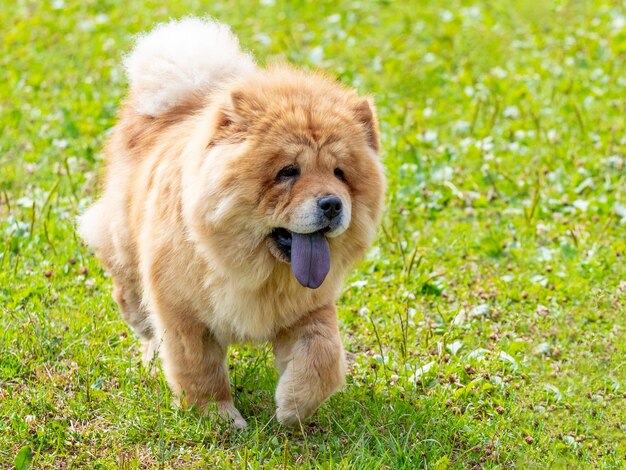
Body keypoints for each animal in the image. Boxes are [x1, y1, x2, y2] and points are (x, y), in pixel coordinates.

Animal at [80, 18, 382, 428]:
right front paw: (220, 417)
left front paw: (292, 407)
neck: (255, 272)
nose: (333, 204)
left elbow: (323, 358)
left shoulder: (309, 309)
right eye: (288, 172)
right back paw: (149, 345)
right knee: (133, 300)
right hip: (124, 245)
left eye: (340, 174)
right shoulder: (184, 314)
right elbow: (200, 369)